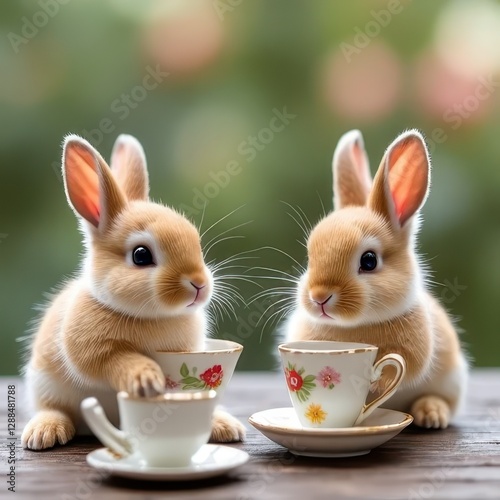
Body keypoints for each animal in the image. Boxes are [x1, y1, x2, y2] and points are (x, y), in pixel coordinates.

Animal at [21, 134, 244, 450]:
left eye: (195, 241)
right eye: (141, 255)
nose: (199, 284)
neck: (153, 317)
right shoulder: (92, 349)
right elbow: (116, 360)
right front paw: (146, 379)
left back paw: (224, 425)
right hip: (45, 386)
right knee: (54, 409)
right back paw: (44, 432)